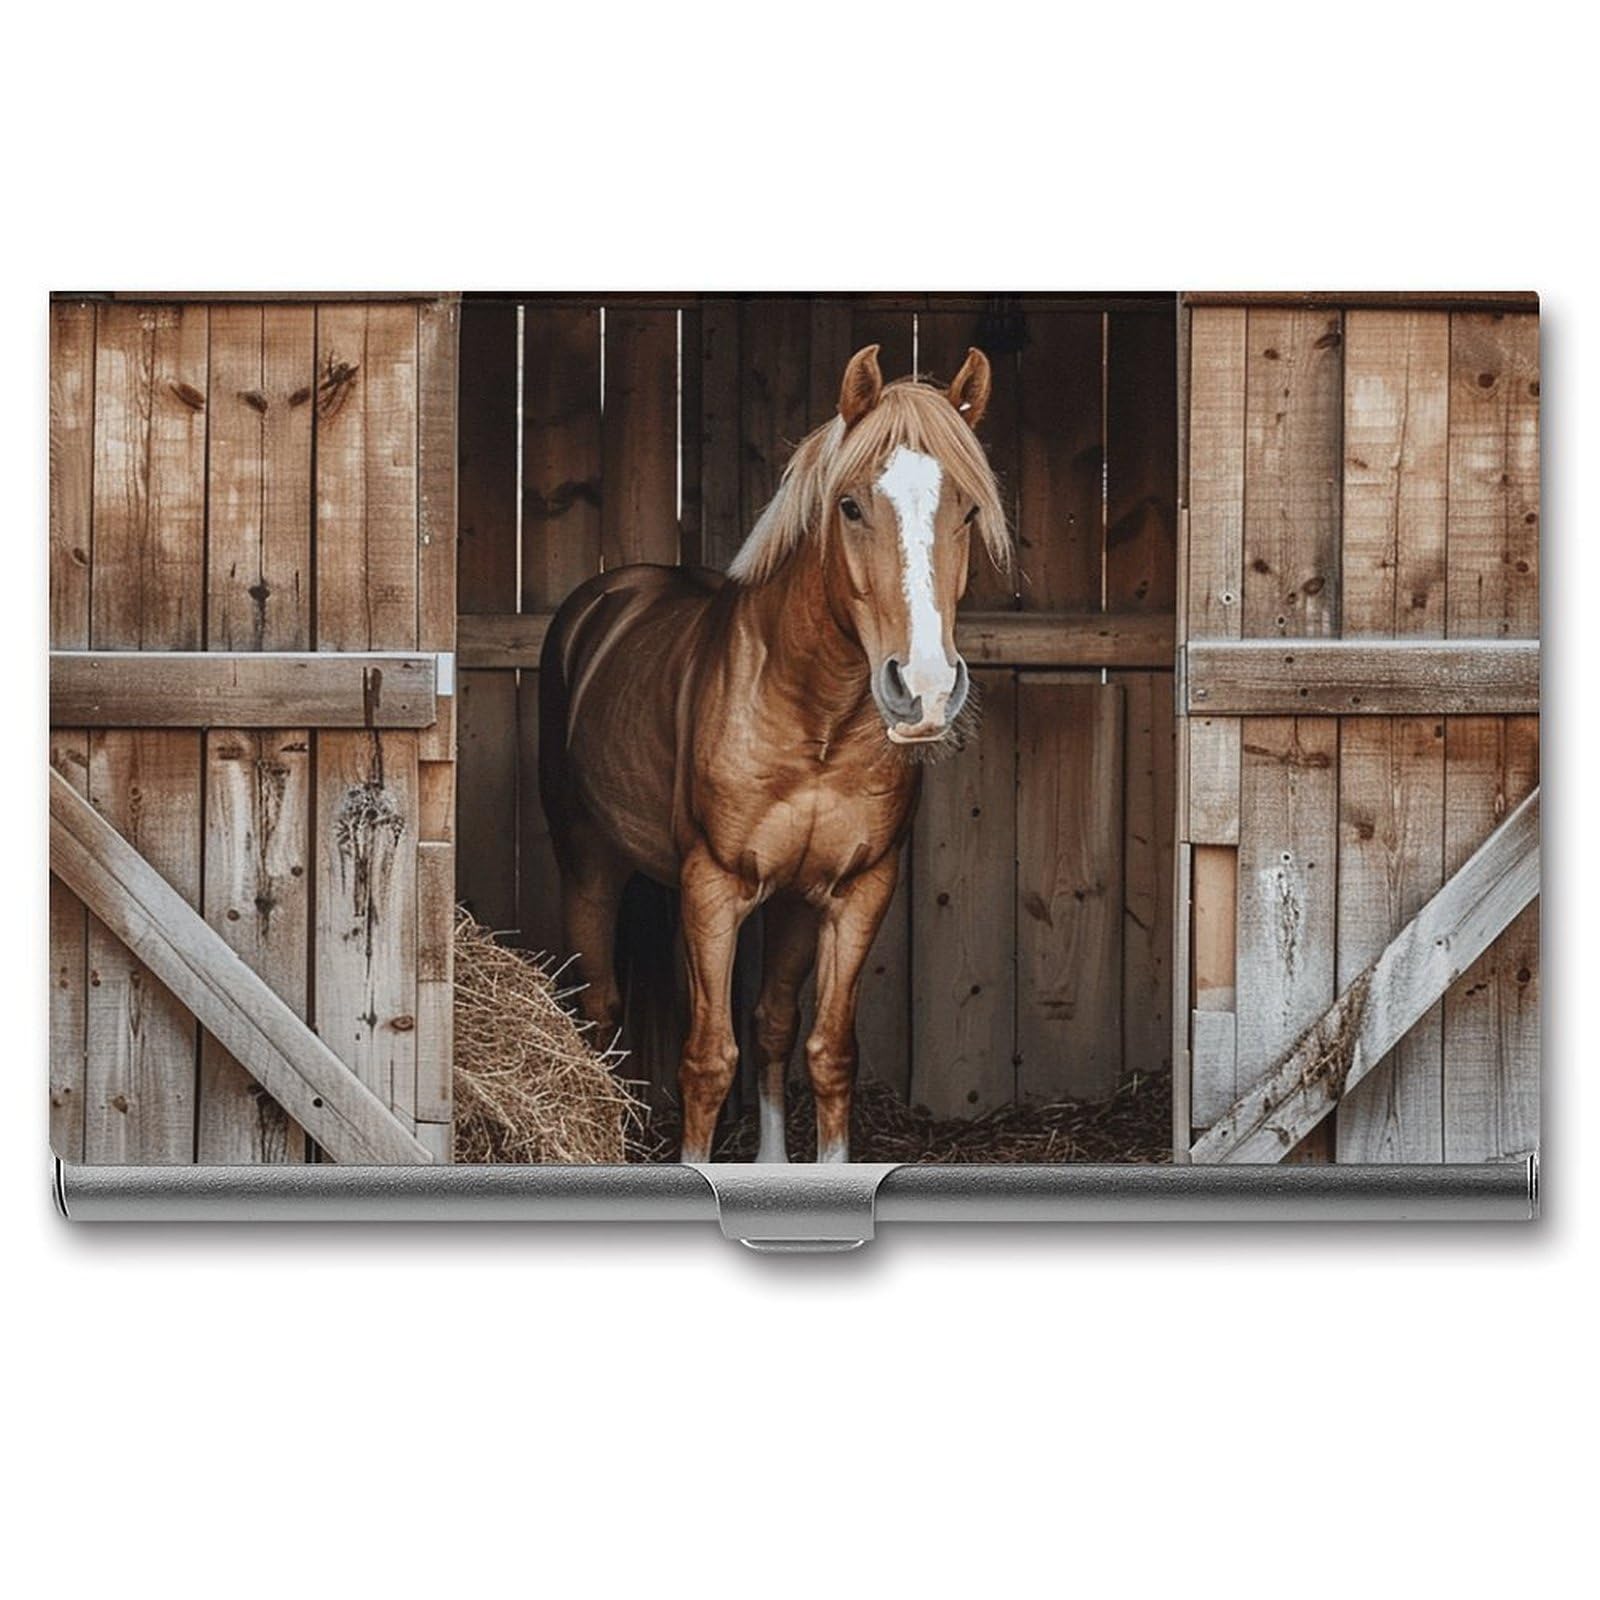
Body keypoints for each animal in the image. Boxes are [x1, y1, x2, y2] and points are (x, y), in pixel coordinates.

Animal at [539, 344, 1010, 1161]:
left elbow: (816, 1046)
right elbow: (706, 1058)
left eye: (969, 509)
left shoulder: (852, 890)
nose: (923, 689)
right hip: (588, 863)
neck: (813, 721)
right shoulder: (714, 886)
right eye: (850, 505)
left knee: (765, 1020)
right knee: (597, 1007)